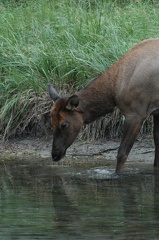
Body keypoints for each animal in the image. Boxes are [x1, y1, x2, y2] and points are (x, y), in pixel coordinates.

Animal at [48, 38, 159, 172]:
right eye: (51, 122)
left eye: (63, 124)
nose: (54, 155)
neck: (114, 89)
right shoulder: (156, 112)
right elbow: (157, 145)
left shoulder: (135, 113)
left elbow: (122, 153)